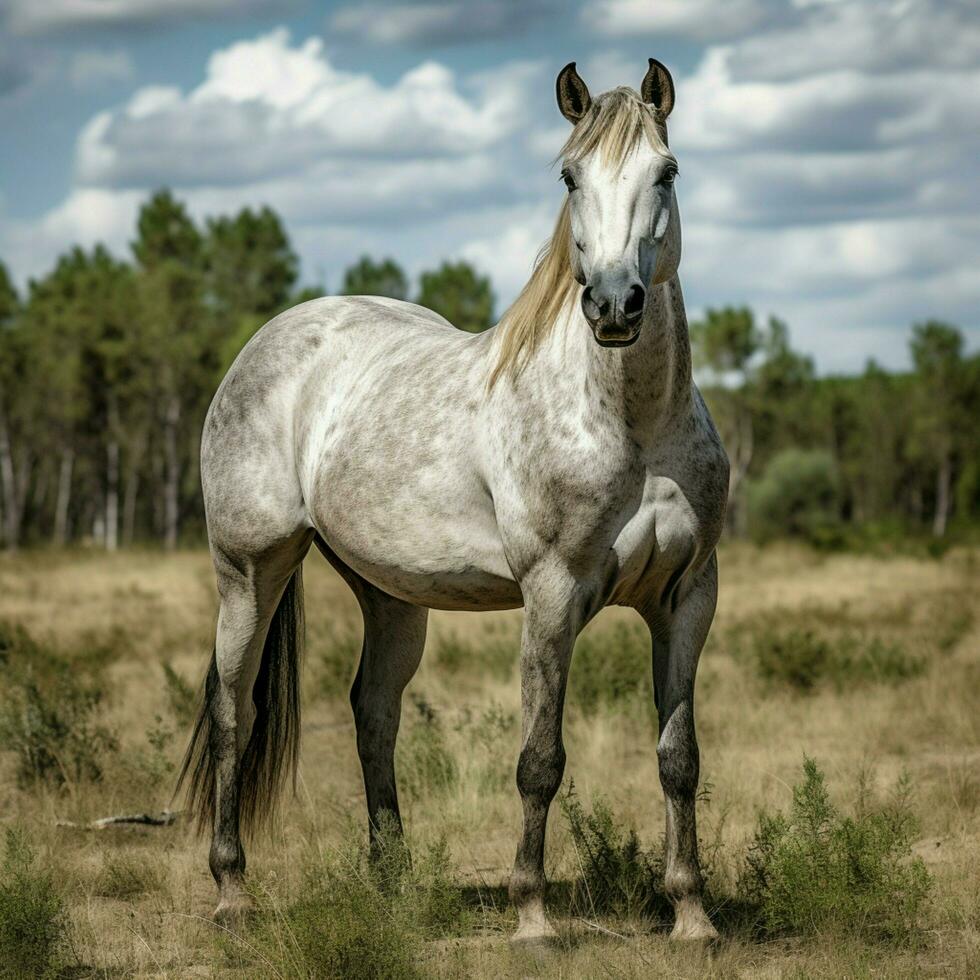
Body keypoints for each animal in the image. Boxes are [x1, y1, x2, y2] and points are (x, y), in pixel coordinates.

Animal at [174, 55, 728, 940]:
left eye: (666, 172)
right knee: (234, 713)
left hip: (389, 593)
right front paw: (532, 917)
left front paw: (692, 916)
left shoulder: (688, 597)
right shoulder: (552, 593)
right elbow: (540, 760)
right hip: (250, 570)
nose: (613, 305)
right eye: (570, 176)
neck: (634, 424)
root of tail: (264, 342)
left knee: (373, 711)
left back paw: (391, 884)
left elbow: (679, 760)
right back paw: (232, 893)